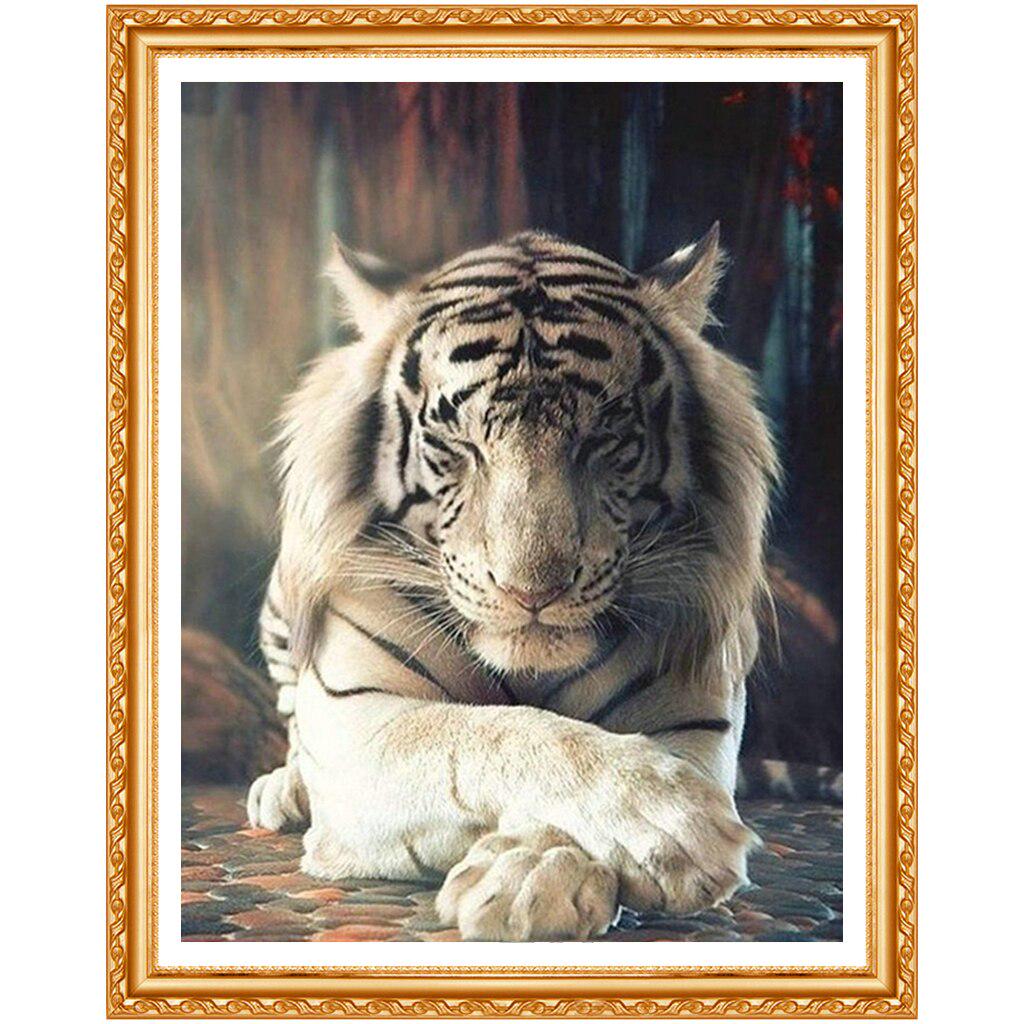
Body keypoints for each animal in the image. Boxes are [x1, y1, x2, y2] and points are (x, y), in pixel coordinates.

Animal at [247, 224, 782, 941]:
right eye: (457, 444)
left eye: (604, 438)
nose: (531, 592)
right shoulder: (359, 720)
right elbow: (492, 733)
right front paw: (670, 822)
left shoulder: (695, 719)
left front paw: (533, 876)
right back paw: (283, 789)